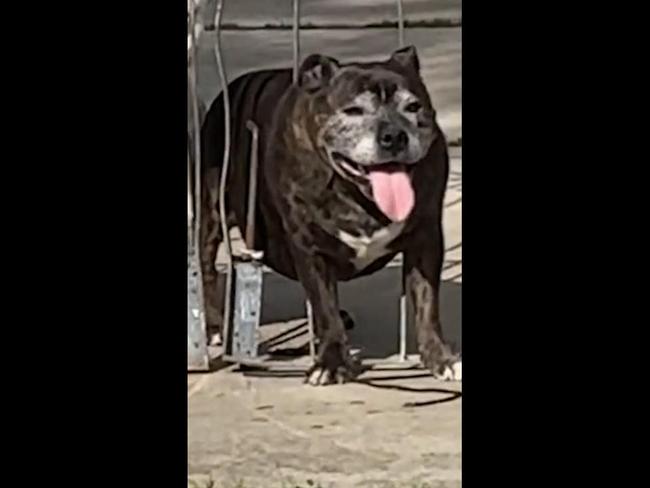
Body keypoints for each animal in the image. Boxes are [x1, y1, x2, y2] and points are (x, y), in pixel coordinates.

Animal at [200, 45, 458, 386]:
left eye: (414, 107)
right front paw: (332, 362)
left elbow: (427, 304)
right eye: (353, 110)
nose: (394, 135)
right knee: (206, 265)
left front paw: (440, 358)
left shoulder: (425, 240)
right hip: (211, 208)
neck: (357, 194)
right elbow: (324, 306)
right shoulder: (310, 249)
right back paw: (215, 326)